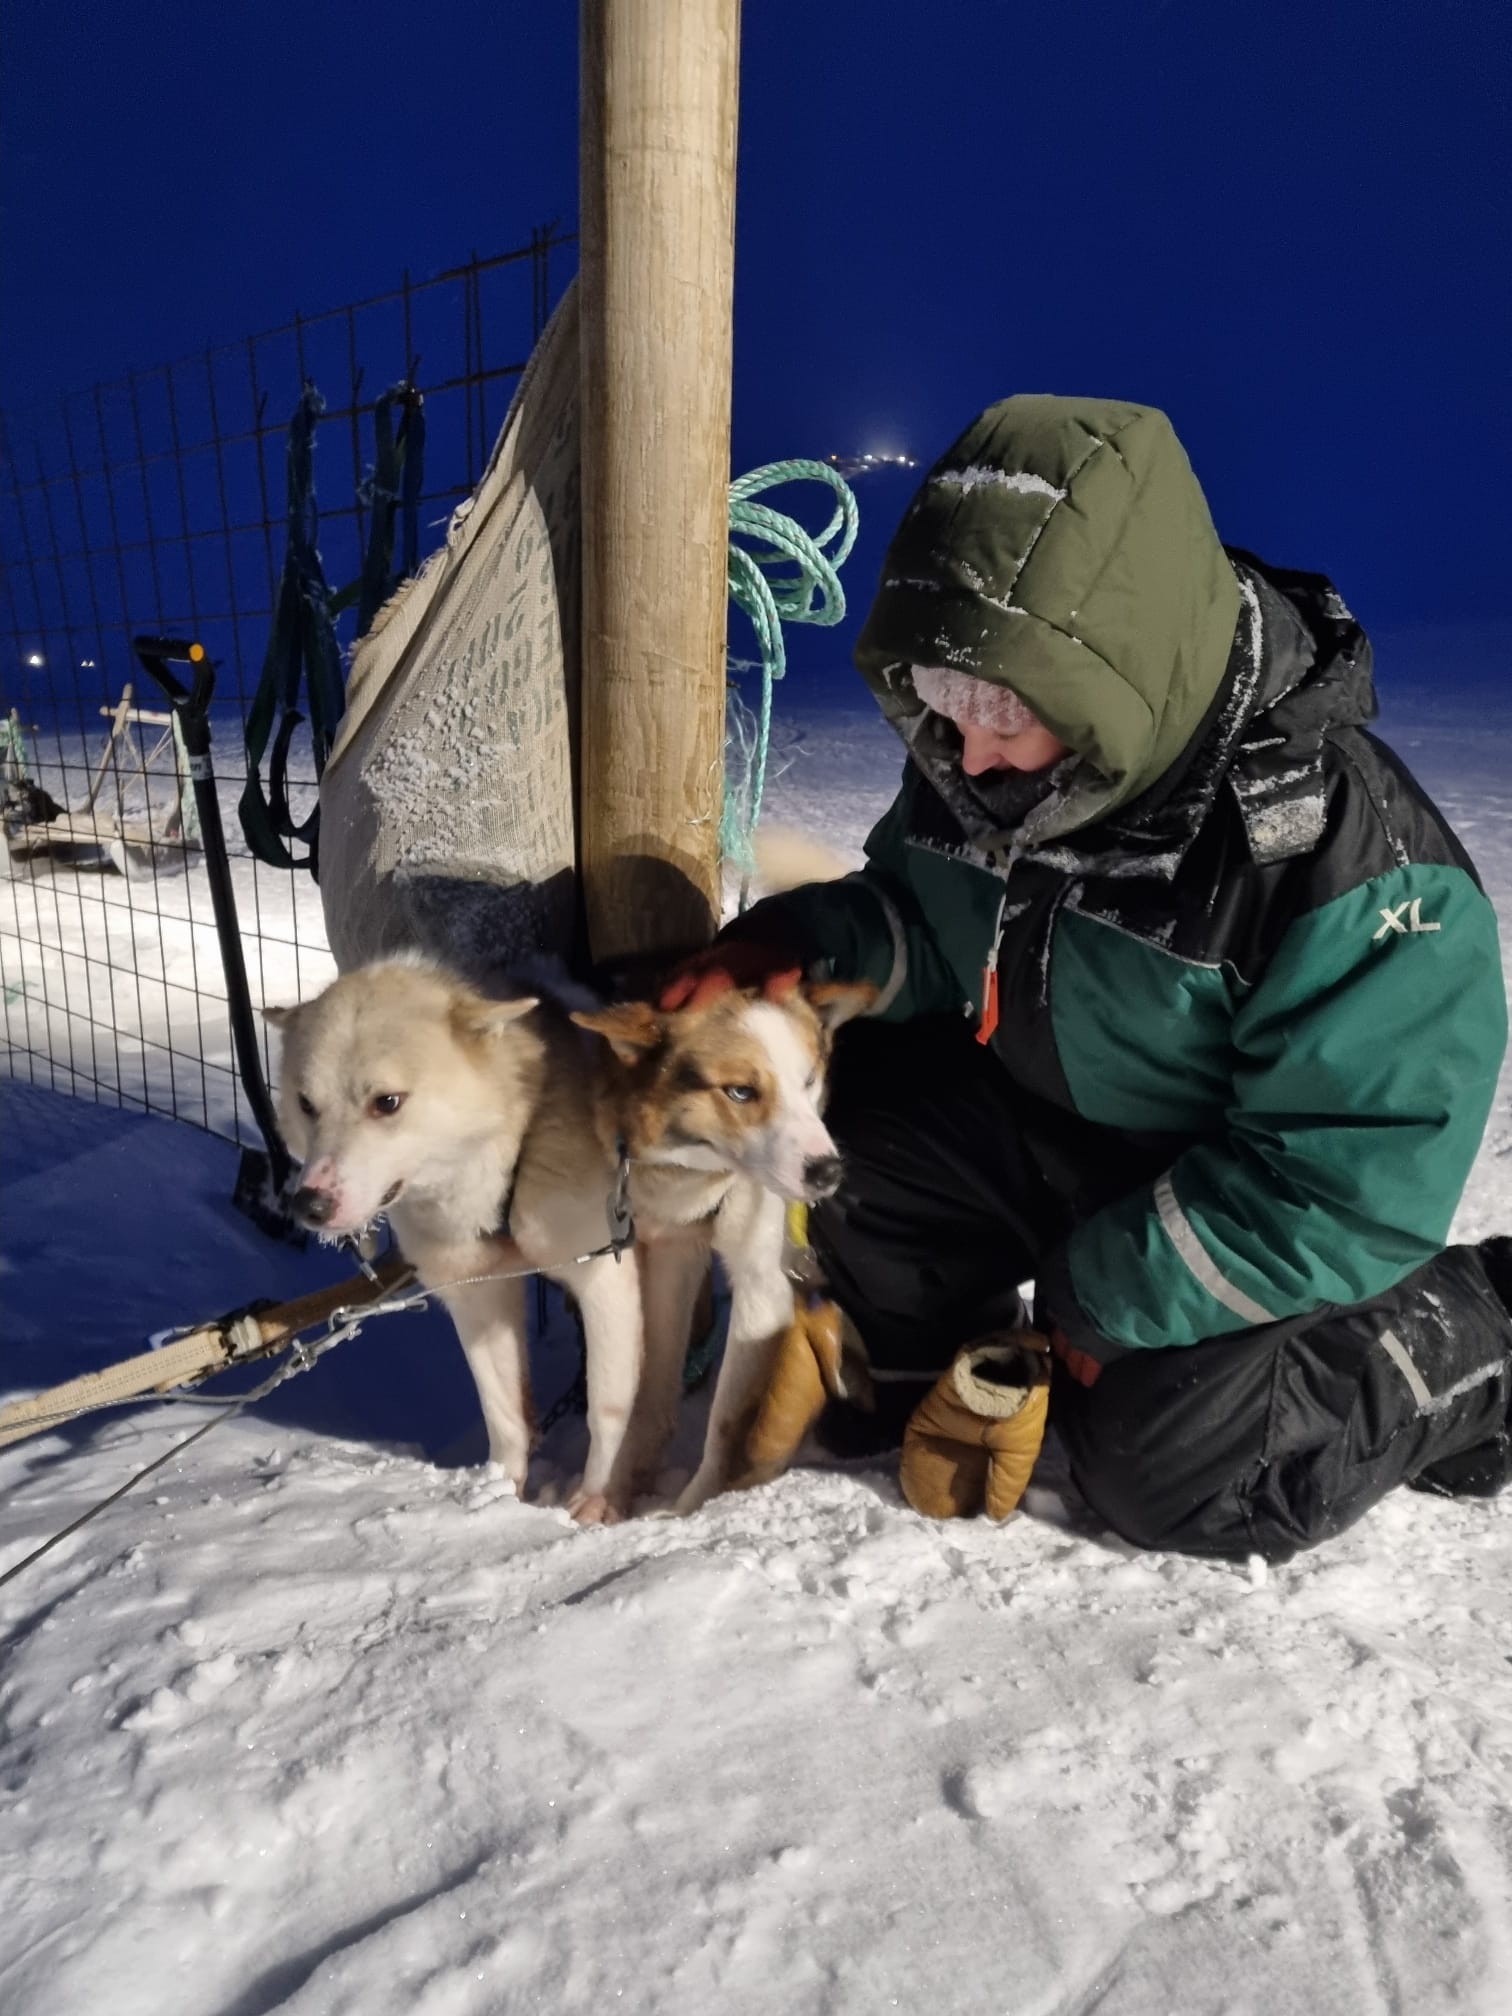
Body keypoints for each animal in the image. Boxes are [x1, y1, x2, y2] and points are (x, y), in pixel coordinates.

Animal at [266, 951, 870, 1516]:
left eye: (387, 1102)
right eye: (306, 1104)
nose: (310, 1203)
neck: (514, 1145)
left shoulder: (619, 1280)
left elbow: (626, 1409)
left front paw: (603, 1503)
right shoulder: (478, 1289)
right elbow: (505, 1415)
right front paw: (499, 1498)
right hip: (670, 1257)